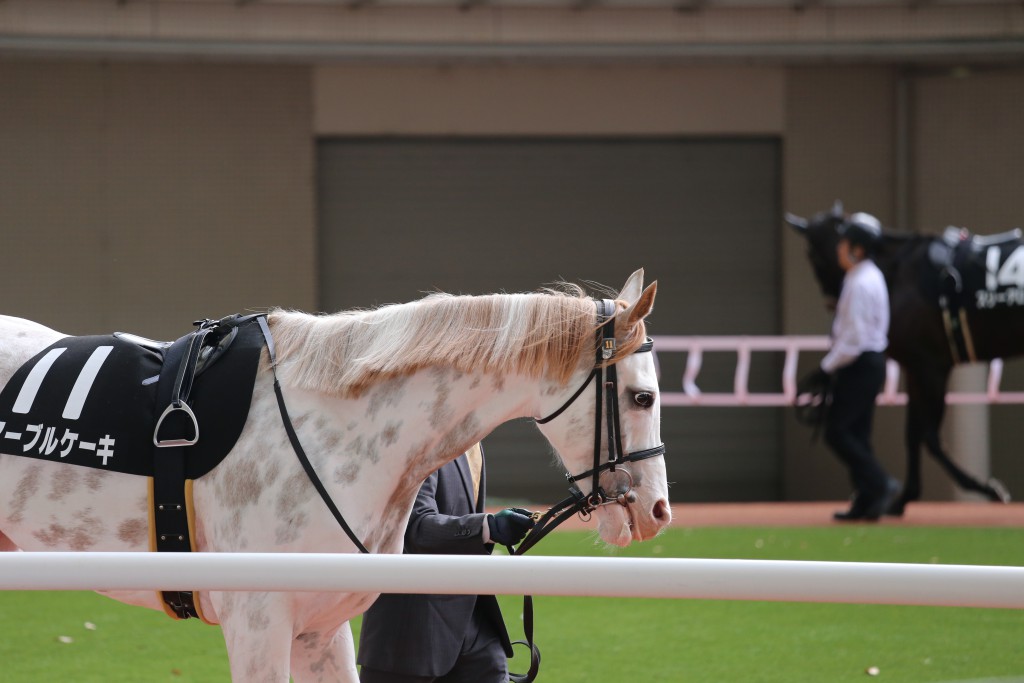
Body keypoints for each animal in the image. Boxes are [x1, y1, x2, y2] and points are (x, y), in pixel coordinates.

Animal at [787, 203, 1014, 514]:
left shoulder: (930, 367)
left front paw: (986, 487)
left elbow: (930, 436)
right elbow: (913, 434)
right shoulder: (916, 369)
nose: (833, 303)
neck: (901, 272)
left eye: (810, 252)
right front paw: (903, 497)